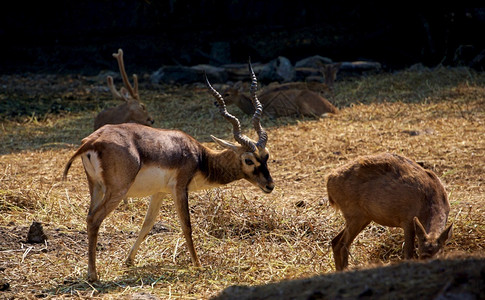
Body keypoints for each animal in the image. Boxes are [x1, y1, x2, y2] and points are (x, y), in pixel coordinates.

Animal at [61, 61, 272, 282]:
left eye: (267, 155)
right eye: (248, 160)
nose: (269, 185)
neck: (200, 157)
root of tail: (93, 140)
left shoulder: (159, 192)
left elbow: (147, 224)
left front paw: (129, 260)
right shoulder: (180, 189)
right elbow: (186, 224)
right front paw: (198, 264)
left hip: (96, 187)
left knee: (88, 217)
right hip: (117, 191)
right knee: (94, 219)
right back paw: (93, 275)